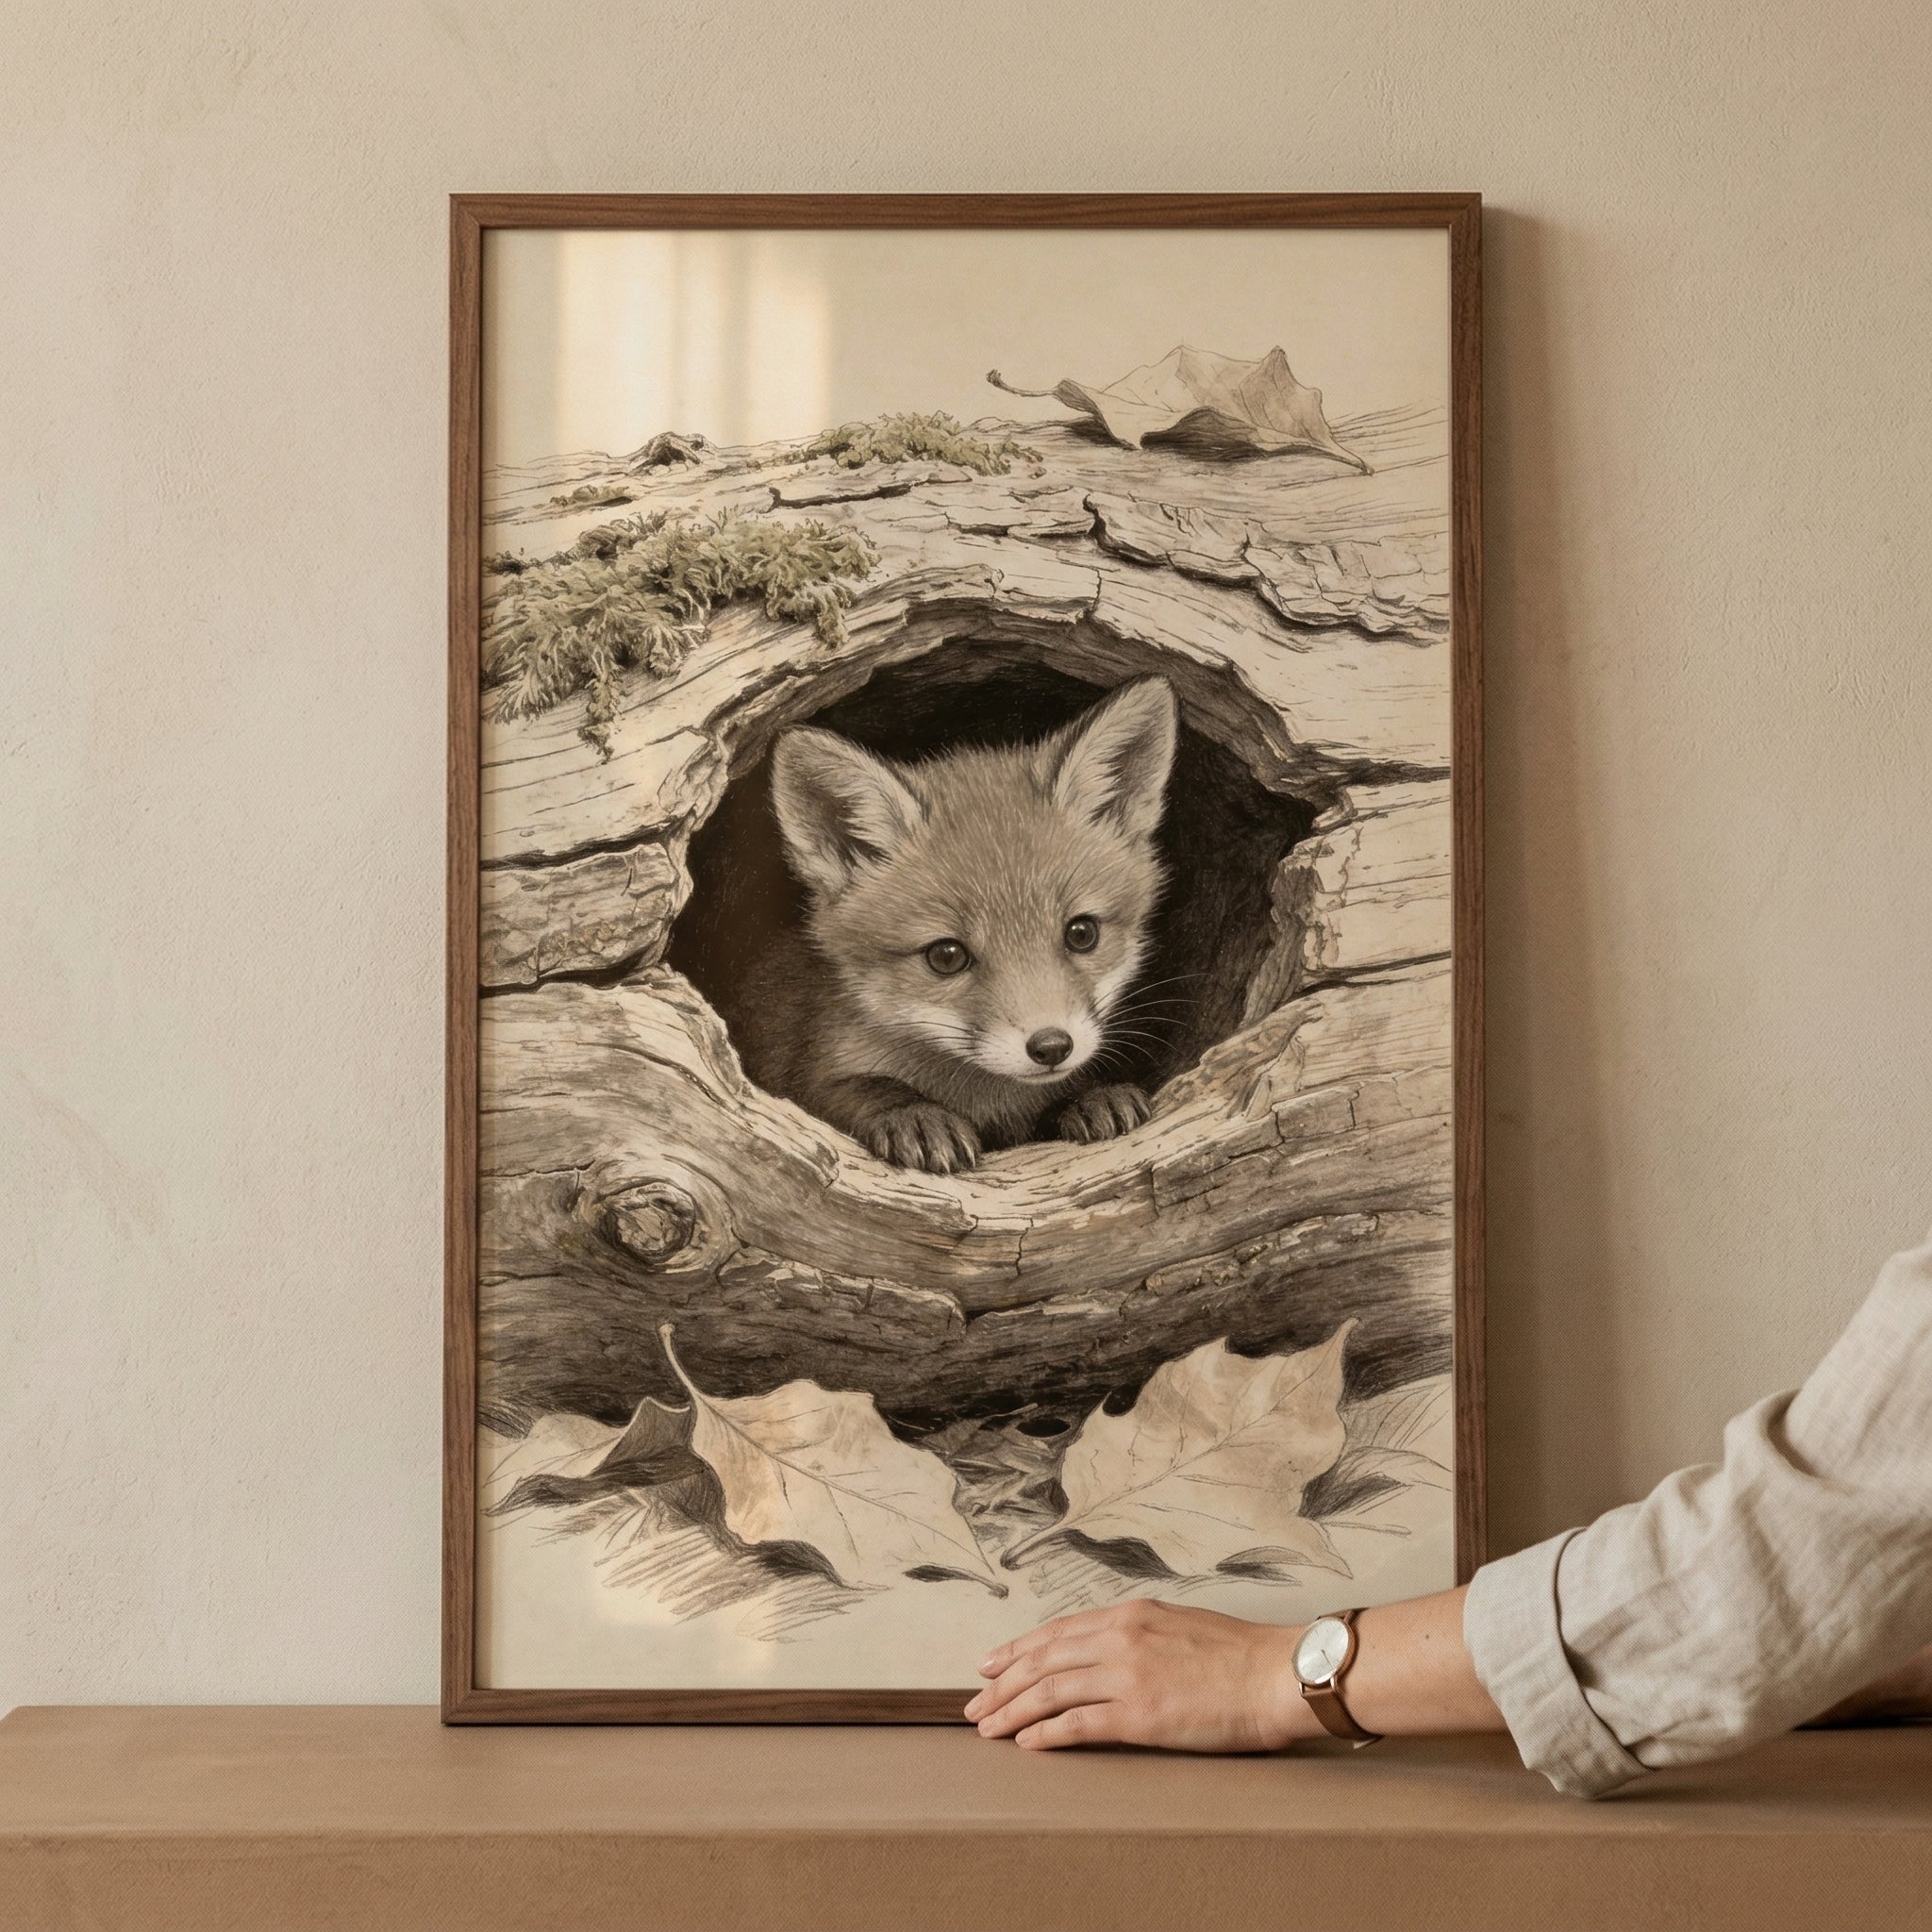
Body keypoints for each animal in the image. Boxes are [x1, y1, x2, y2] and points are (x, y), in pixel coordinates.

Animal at [751, 676, 1178, 1173]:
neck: (984, 1097)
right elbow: (856, 1088)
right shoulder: (808, 1066)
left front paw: (1089, 1097)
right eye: (946, 956)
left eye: (1082, 933)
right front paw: (915, 1115)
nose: (1052, 1046)